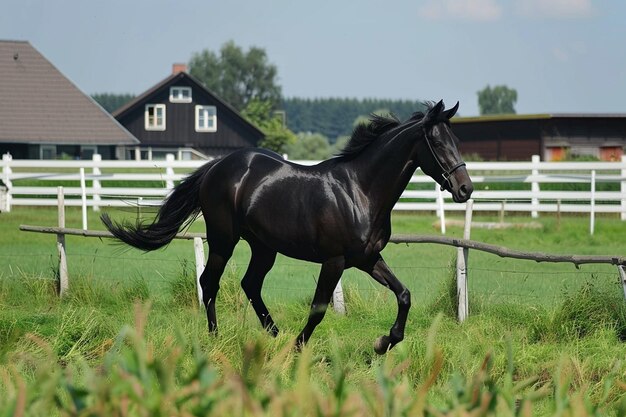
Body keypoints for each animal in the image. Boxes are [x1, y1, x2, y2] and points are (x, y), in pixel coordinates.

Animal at [102, 99, 470, 352]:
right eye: (437, 142)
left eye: (456, 140)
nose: (465, 189)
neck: (359, 191)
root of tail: (216, 166)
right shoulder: (335, 260)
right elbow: (319, 308)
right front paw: (299, 347)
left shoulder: (367, 259)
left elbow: (404, 294)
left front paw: (385, 343)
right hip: (223, 240)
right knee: (210, 282)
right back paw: (217, 337)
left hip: (263, 247)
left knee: (250, 284)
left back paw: (273, 334)